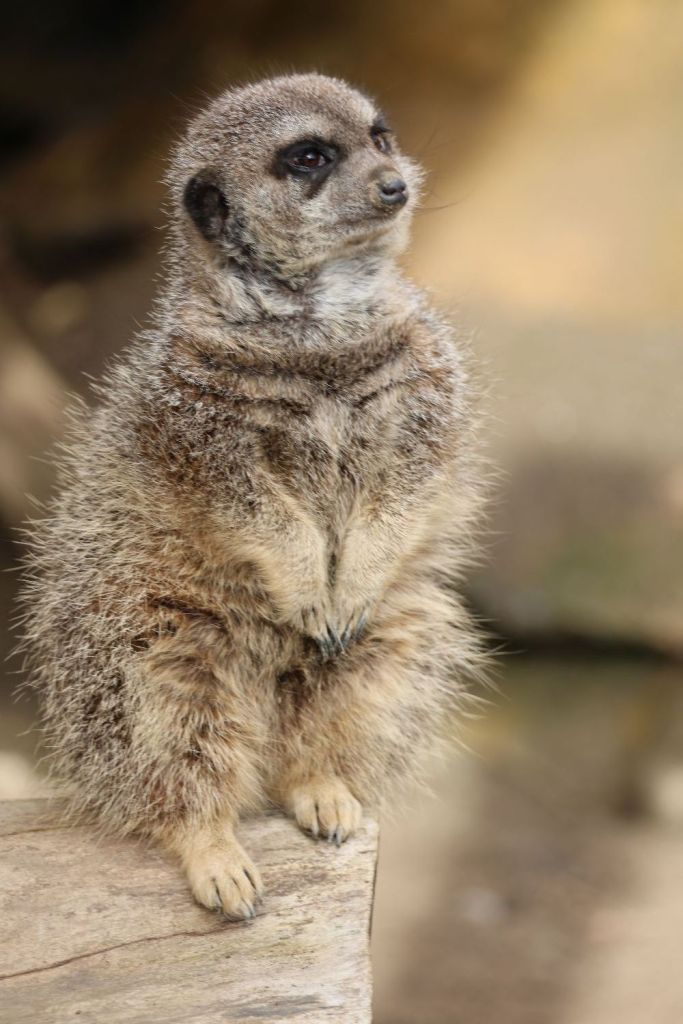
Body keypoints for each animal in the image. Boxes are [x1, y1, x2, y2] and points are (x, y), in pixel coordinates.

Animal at [19, 73, 486, 920]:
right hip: (144, 640)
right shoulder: (191, 415)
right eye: (307, 157)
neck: (318, 329)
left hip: (398, 629)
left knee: (359, 691)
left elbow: (413, 475)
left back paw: (320, 788)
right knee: (174, 738)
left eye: (381, 136)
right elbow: (246, 504)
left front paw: (345, 586)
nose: (394, 184)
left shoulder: (426, 378)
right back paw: (212, 850)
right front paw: (304, 580)